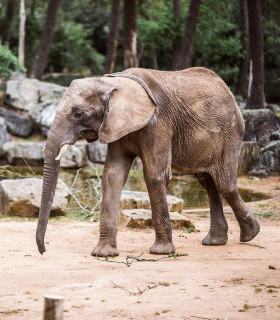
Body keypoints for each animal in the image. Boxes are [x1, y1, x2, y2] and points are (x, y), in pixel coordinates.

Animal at [35, 67, 260, 258]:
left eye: (78, 114)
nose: (44, 251)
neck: (114, 81)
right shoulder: (116, 126)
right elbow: (113, 175)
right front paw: (103, 254)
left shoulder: (158, 122)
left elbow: (154, 175)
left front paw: (161, 252)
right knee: (209, 184)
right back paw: (217, 241)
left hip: (230, 133)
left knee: (224, 184)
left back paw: (250, 234)